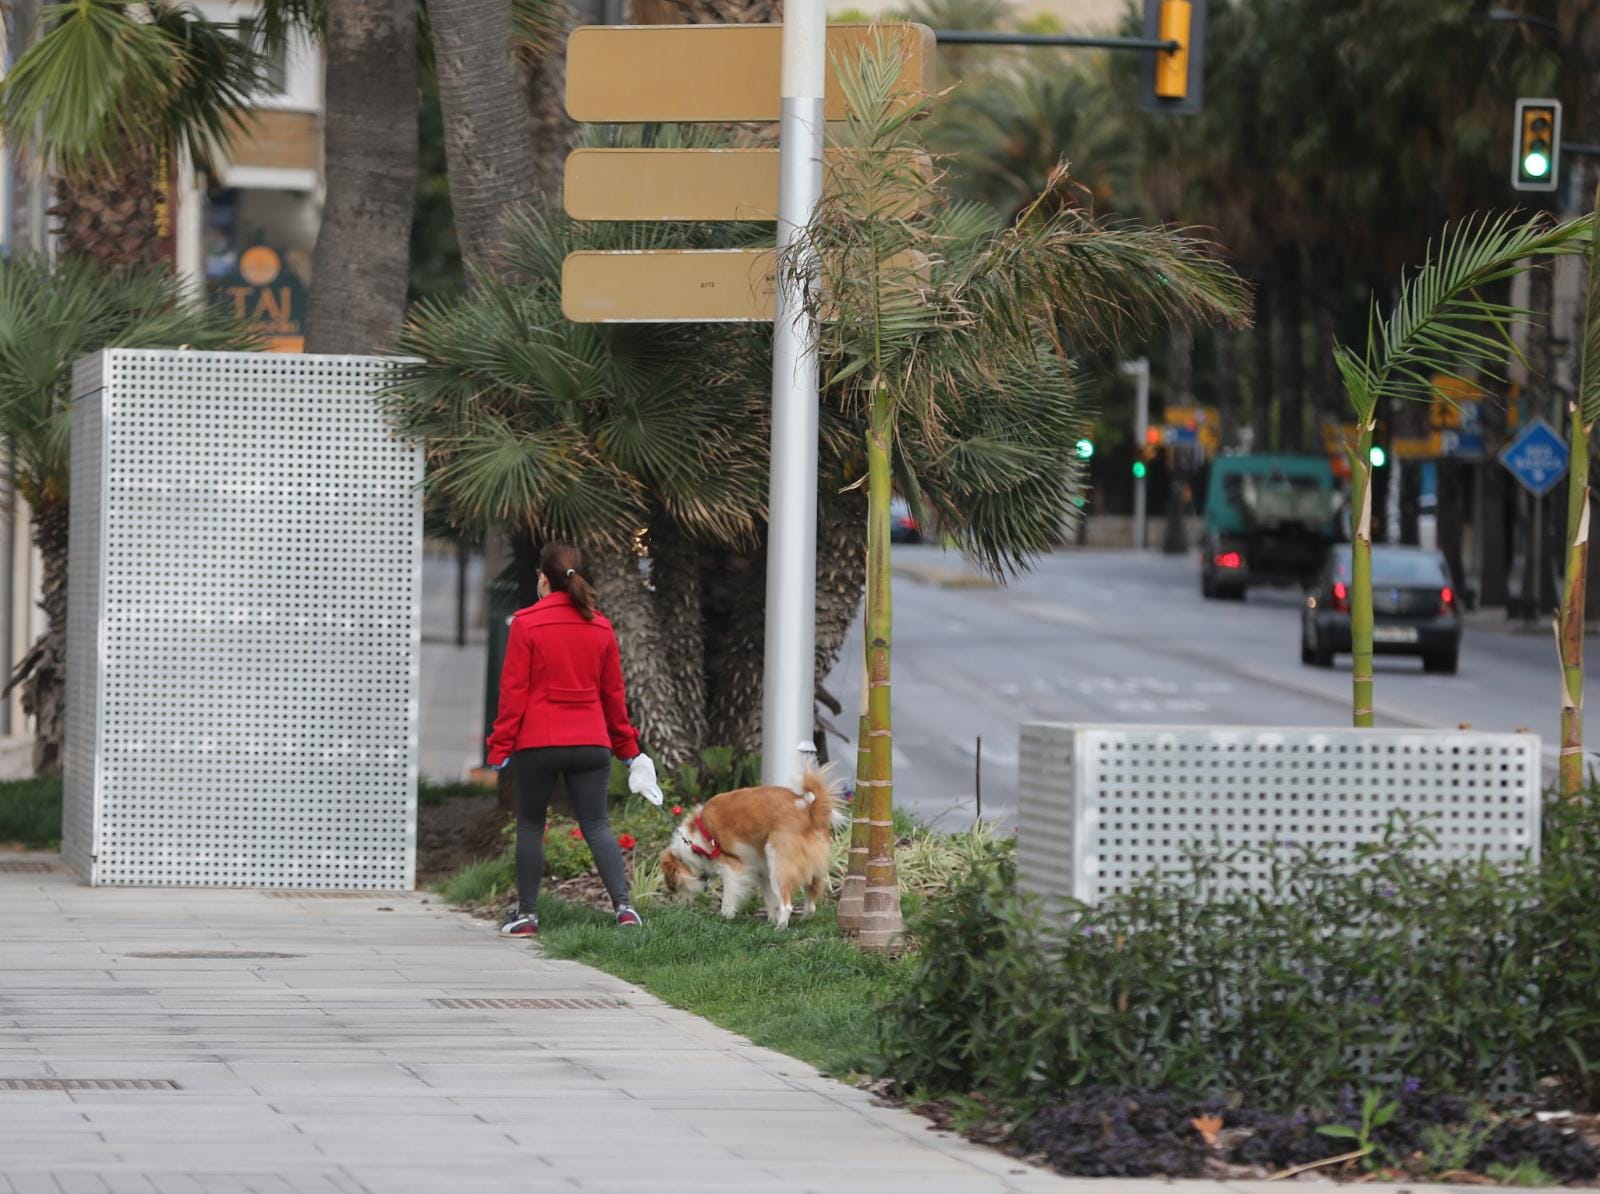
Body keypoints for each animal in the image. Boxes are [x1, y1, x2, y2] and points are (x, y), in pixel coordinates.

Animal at [659, 768, 844, 928]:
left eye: (673, 888)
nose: (678, 908)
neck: (694, 843)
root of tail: (810, 811)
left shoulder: (733, 869)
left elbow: (729, 899)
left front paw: (724, 918)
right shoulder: (762, 871)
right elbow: (770, 901)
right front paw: (770, 919)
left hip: (779, 864)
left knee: (787, 905)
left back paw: (780, 927)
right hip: (804, 868)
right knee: (811, 904)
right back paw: (800, 921)